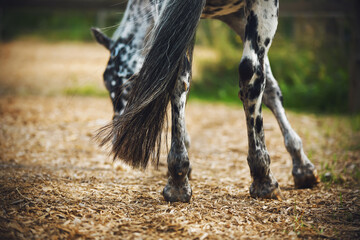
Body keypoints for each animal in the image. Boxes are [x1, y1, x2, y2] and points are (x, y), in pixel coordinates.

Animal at [91, 0, 320, 202]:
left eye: (128, 82)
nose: (118, 139)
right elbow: (267, 86)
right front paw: (303, 167)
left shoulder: (235, 18)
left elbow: (270, 89)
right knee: (249, 72)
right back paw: (262, 180)